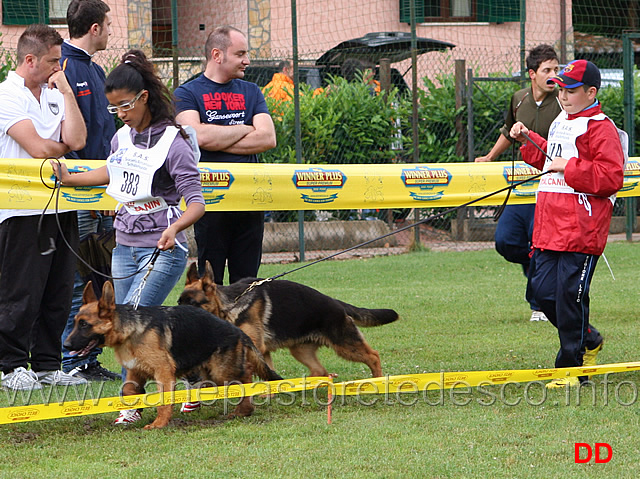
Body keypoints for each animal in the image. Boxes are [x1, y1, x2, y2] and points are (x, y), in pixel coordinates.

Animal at [63, 280, 282, 430]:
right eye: (75, 323)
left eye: (84, 324)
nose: (65, 345)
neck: (131, 330)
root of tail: (238, 332)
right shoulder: (135, 371)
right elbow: (128, 390)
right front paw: (130, 411)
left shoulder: (163, 373)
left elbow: (163, 400)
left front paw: (159, 423)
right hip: (212, 372)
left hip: (221, 371)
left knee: (246, 378)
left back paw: (245, 409)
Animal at [179, 262, 400, 378]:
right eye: (179, 302)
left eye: (193, 304)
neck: (231, 304)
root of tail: (336, 303)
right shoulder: (262, 352)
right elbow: (267, 372)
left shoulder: (256, 348)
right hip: (301, 350)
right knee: (319, 370)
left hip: (345, 345)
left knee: (373, 356)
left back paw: (378, 380)